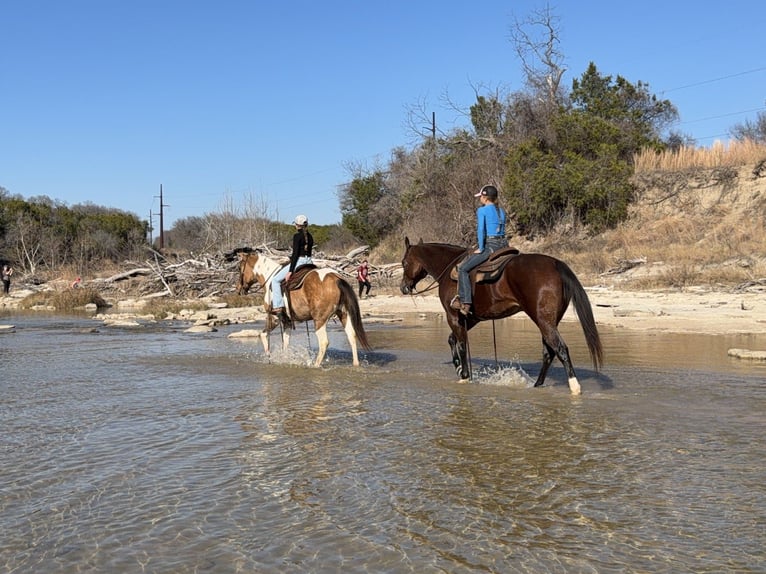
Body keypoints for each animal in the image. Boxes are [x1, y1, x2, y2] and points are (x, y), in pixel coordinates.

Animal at [236, 250, 371, 367]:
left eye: (239, 268)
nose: (238, 289)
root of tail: (336, 278)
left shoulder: (274, 317)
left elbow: (263, 335)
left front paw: (269, 357)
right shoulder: (287, 321)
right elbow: (285, 343)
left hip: (319, 320)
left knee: (324, 342)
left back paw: (315, 365)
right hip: (343, 314)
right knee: (351, 336)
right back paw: (355, 364)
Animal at [399, 238, 603, 394]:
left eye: (404, 262)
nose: (403, 287)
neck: (449, 269)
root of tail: (555, 264)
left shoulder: (454, 316)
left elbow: (462, 345)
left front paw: (464, 376)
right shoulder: (472, 318)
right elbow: (452, 340)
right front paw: (458, 366)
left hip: (543, 320)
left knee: (560, 349)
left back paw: (574, 387)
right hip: (550, 321)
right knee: (549, 352)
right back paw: (537, 385)